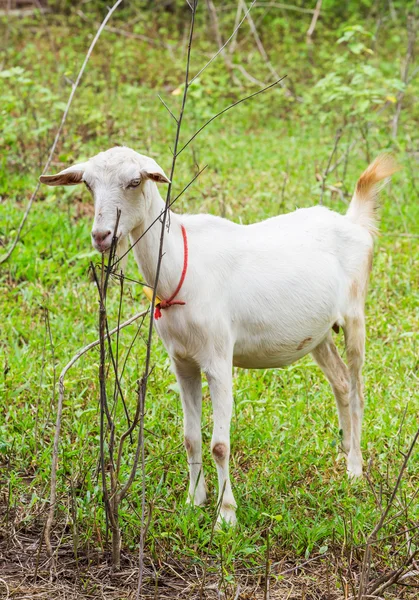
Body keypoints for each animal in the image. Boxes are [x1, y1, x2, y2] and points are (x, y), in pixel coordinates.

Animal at [41, 148, 398, 524]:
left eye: (135, 181)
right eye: (88, 184)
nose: (101, 235)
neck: (180, 269)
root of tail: (354, 222)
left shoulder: (218, 359)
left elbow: (220, 445)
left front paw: (226, 515)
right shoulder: (182, 361)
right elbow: (190, 437)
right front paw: (193, 500)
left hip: (355, 316)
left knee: (357, 389)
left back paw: (355, 468)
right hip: (318, 334)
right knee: (340, 381)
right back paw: (344, 451)